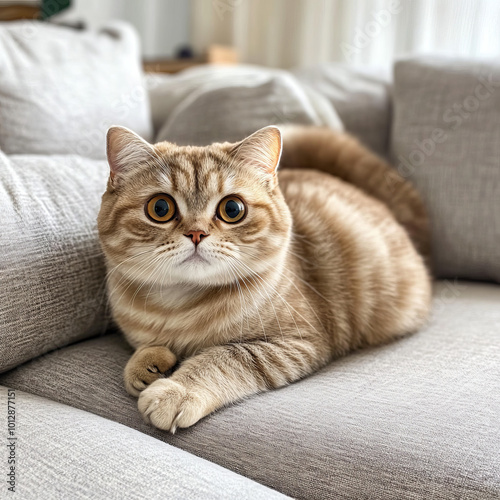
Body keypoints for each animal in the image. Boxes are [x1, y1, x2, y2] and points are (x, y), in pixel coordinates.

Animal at [98, 123, 434, 432]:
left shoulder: (297, 343)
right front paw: (146, 364)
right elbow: (145, 346)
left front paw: (176, 390)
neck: (178, 308)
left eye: (232, 209)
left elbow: (223, 358)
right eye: (160, 207)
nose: (196, 233)